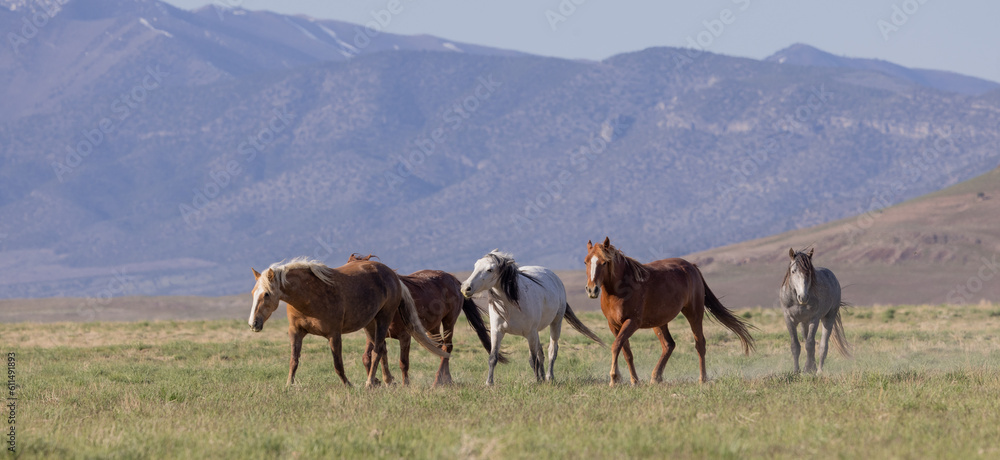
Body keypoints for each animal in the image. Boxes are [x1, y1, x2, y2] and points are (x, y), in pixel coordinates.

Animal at [247, 257, 448, 388]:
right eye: (253, 293)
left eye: (267, 294)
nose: (253, 324)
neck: (308, 297)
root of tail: (392, 275)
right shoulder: (296, 332)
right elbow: (293, 360)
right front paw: (289, 385)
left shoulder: (334, 335)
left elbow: (338, 364)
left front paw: (348, 385)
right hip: (370, 323)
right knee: (382, 348)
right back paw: (387, 381)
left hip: (384, 317)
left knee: (377, 350)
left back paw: (369, 383)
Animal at [346, 254, 504, 386]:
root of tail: (453, 279)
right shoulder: (372, 336)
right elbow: (367, 358)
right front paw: (378, 381)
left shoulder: (405, 336)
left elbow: (403, 362)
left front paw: (405, 385)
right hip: (432, 328)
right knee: (441, 349)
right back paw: (447, 379)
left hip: (449, 321)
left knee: (447, 347)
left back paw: (438, 380)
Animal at [460, 250, 605, 385]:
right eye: (475, 265)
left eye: (490, 269)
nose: (466, 288)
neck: (512, 304)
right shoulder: (497, 331)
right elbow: (493, 357)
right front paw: (489, 383)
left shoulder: (530, 334)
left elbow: (533, 359)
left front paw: (537, 381)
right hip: (536, 332)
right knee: (541, 353)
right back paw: (543, 377)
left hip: (555, 324)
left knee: (552, 351)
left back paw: (549, 377)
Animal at [584, 237, 755, 386]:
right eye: (586, 261)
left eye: (604, 262)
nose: (592, 290)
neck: (621, 290)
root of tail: (692, 266)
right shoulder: (613, 325)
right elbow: (626, 351)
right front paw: (634, 381)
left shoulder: (632, 322)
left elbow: (616, 346)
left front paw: (614, 379)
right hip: (659, 322)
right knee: (669, 345)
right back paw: (656, 377)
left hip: (694, 313)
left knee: (700, 344)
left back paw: (702, 379)